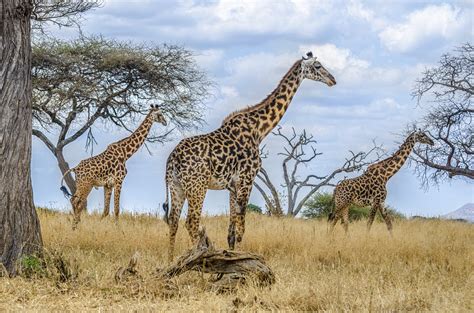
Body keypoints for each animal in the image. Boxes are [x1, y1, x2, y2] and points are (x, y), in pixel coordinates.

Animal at [163, 51, 336, 260]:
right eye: (318, 66)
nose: (333, 80)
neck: (259, 130)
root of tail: (172, 160)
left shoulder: (233, 185)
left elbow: (231, 231)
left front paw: (231, 256)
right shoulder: (247, 179)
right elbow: (241, 229)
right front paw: (240, 258)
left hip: (177, 186)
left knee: (173, 221)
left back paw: (172, 261)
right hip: (197, 186)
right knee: (191, 221)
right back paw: (196, 257)